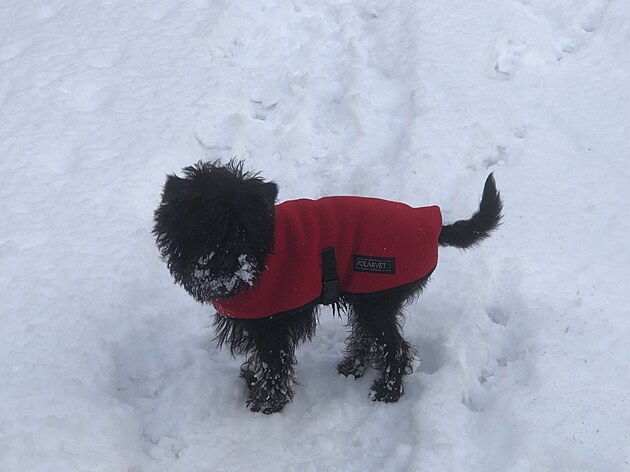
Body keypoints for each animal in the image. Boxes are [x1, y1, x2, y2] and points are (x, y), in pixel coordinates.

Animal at [153, 160, 502, 414]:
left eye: (245, 230)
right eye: (202, 228)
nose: (226, 263)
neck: (262, 260)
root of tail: (432, 224)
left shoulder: (271, 326)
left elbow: (273, 364)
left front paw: (267, 402)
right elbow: (263, 361)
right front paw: (253, 380)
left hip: (377, 304)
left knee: (395, 348)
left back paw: (387, 391)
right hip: (367, 299)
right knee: (369, 337)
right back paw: (353, 367)